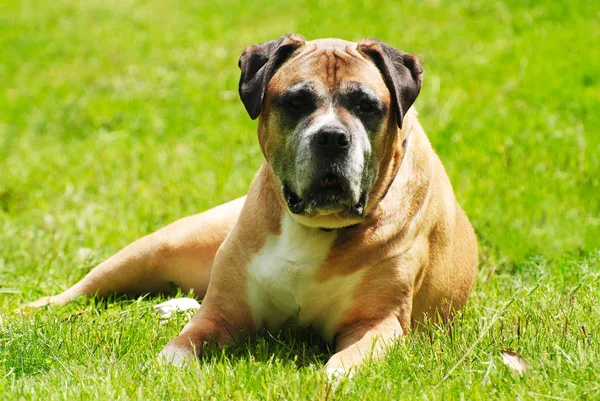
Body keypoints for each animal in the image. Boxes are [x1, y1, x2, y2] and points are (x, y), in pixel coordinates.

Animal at [27, 34, 478, 376]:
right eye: (296, 102)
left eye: (366, 105)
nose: (332, 137)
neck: (315, 228)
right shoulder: (222, 314)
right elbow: (179, 346)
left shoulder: (377, 323)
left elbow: (343, 363)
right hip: (160, 246)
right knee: (85, 287)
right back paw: (32, 310)